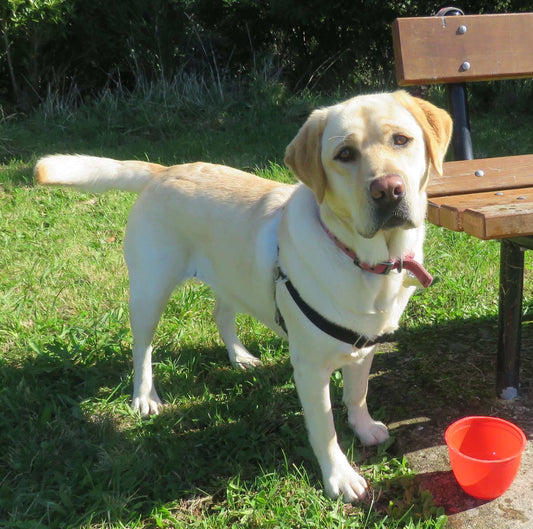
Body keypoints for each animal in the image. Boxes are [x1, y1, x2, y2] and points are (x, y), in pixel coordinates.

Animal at [34, 89, 448, 500]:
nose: (388, 190)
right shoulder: (310, 369)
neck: (367, 262)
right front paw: (340, 477)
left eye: (401, 140)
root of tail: (163, 170)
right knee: (142, 349)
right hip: (150, 290)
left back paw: (240, 358)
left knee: (221, 314)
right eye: (345, 154)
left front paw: (363, 428)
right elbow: (325, 429)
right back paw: (145, 397)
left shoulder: (364, 345)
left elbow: (357, 394)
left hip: (230, 276)